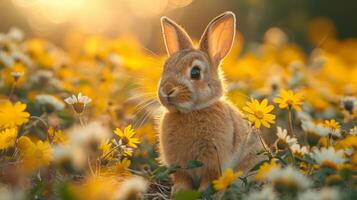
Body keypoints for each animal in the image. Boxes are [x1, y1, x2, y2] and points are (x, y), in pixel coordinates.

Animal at [157, 11, 262, 193]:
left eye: (195, 73)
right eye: (165, 67)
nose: (167, 89)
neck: (191, 112)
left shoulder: (213, 161)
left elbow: (209, 179)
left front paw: (204, 192)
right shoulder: (179, 164)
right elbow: (183, 179)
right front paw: (179, 191)